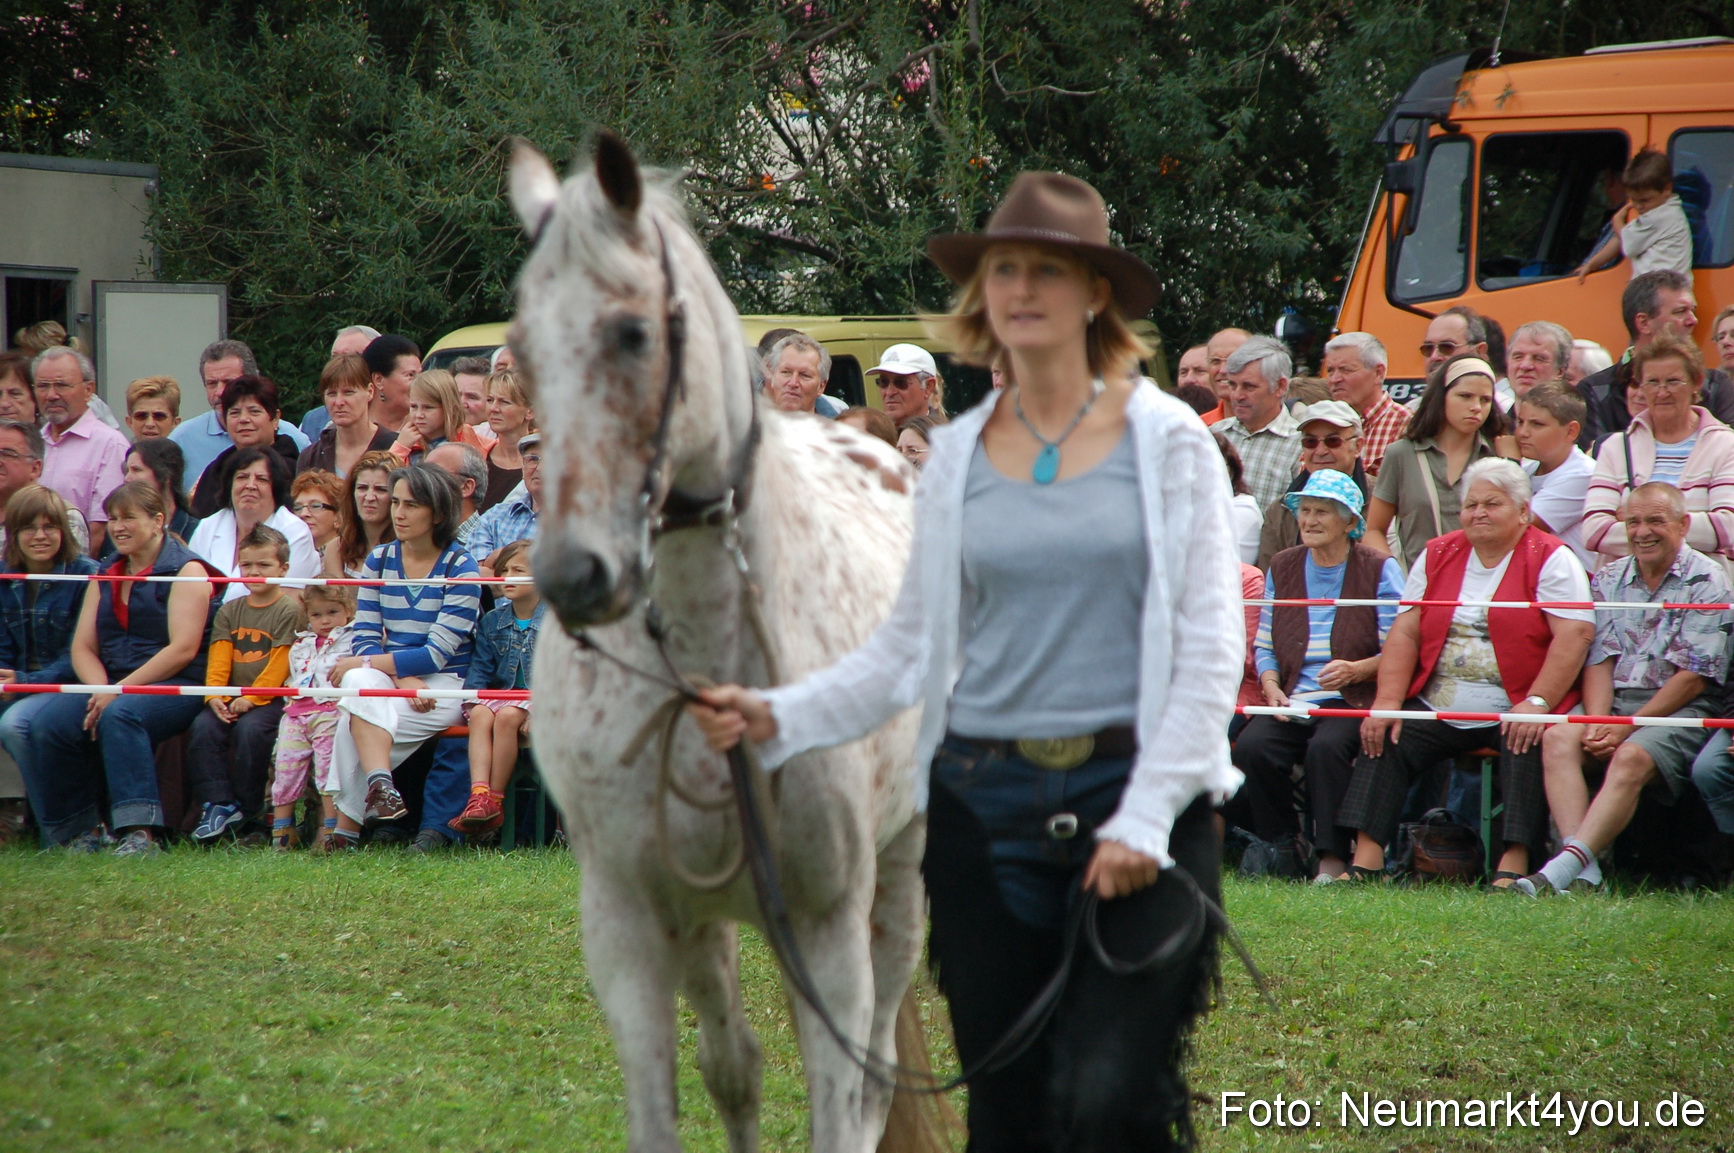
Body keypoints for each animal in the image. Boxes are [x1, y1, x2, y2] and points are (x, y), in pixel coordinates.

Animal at [508, 132, 942, 1153]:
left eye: (633, 333)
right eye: (520, 350)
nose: (576, 575)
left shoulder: (828, 926)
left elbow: (841, 1103)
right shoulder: (630, 926)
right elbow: (688, 1095)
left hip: (897, 880)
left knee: (875, 1071)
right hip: (706, 921)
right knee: (735, 1064)